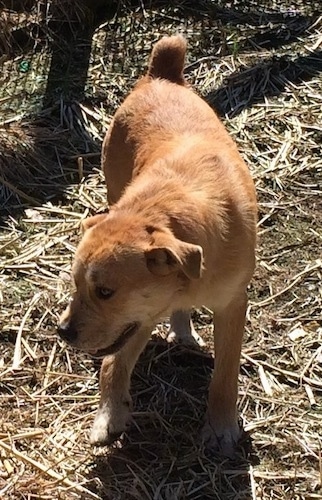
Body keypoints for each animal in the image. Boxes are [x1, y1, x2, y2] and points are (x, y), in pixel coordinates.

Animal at [57, 35, 256, 458]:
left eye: (105, 291)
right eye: (76, 286)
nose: (62, 332)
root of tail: (161, 75)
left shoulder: (233, 305)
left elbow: (225, 376)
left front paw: (220, 428)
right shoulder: (138, 317)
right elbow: (112, 364)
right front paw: (110, 416)